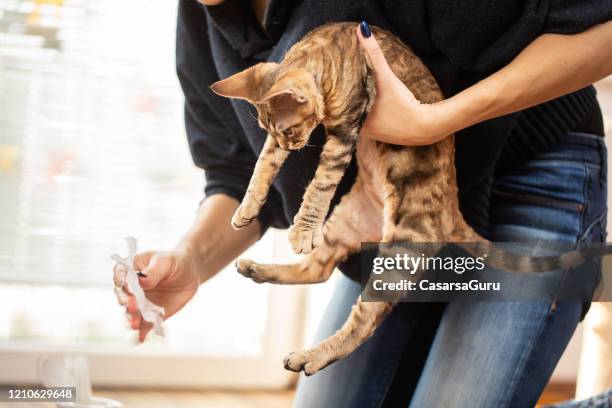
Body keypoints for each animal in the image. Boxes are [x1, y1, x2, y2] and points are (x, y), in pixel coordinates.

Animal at [210, 21, 608, 372]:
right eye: (271, 130)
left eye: (290, 130)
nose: (290, 145)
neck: (327, 47)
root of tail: (451, 209)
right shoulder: (285, 145)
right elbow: (261, 167)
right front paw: (247, 208)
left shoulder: (345, 131)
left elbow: (320, 183)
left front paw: (303, 230)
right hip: (346, 219)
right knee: (318, 270)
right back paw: (258, 270)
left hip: (401, 251)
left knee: (366, 320)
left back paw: (313, 355)